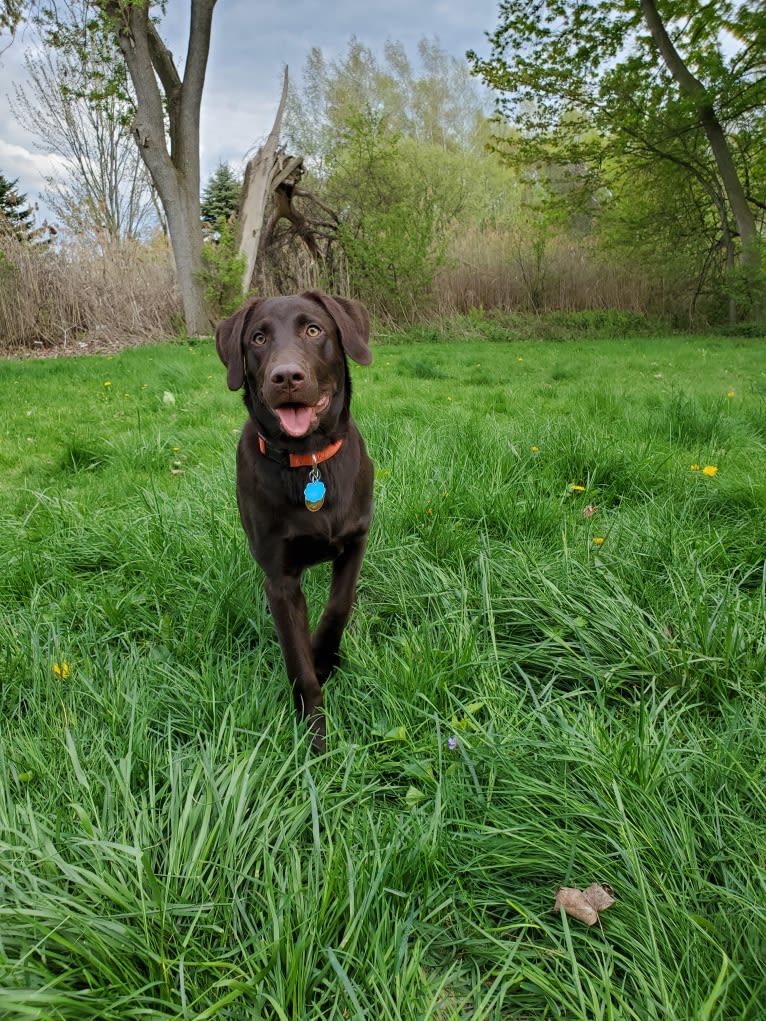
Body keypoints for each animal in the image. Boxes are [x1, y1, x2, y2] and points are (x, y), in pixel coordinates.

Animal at [216, 292, 375, 747]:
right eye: (258, 337)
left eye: (313, 330)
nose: (286, 376)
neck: (309, 461)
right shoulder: (280, 578)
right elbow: (297, 664)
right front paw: (315, 738)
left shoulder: (357, 539)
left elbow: (339, 603)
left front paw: (324, 654)